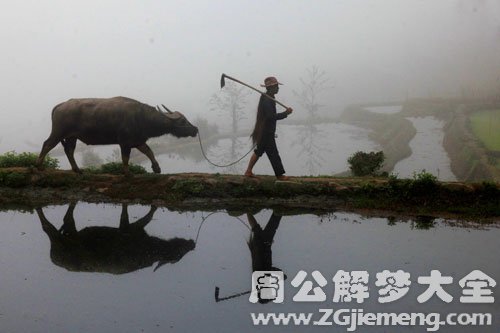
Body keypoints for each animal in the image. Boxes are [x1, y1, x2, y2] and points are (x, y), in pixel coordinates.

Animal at [35, 96, 197, 174]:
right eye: (183, 121)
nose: (195, 129)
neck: (142, 117)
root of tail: (60, 105)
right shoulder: (125, 142)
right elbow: (125, 158)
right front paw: (127, 173)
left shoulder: (138, 141)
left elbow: (149, 151)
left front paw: (156, 168)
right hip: (58, 132)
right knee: (47, 144)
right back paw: (39, 166)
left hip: (71, 137)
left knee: (69, 150)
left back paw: (78, 170)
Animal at [36, 202, 196, 272]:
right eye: (178, 256)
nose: (192, 244)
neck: (151, 246)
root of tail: (53, 257)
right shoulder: (129, 230)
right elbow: (141, 216)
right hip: (58, 239)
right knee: (48, 227)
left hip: (71, 233)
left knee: (67, 220)